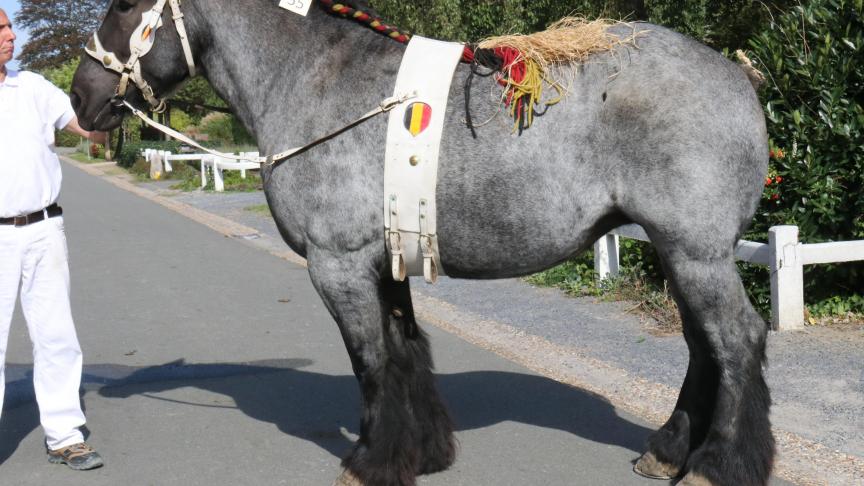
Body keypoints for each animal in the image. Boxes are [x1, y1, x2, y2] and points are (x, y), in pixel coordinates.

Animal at [71, 0, 772, 486]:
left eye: (125, 6)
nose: (81, 96)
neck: (315, 81)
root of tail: (738, 77)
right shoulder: (387, 261)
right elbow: (405, 351)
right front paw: (423, 451)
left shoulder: (338, 266)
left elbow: (372, 361)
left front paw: (369, 462)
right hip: (680, 253)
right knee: (704, 347)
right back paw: (669, 452)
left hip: (695, 253)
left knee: (736, 341)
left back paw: (714, 466)